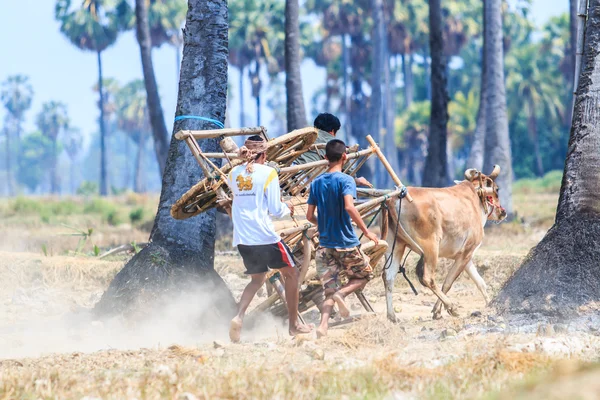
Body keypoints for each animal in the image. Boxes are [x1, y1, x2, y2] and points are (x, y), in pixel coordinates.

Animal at [384, 164, 506, 320]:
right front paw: (439, 311)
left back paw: (392, 316)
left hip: (395, 246)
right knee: (427, 278)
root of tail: (396, 198)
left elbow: (480, 283)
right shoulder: (466, 253)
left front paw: (489, 304)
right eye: (496, 189)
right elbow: (448, 283)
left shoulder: (466, 256)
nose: (503, 212)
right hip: (431, 248)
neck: (475, 200)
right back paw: (452, 306)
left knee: (388, 277)